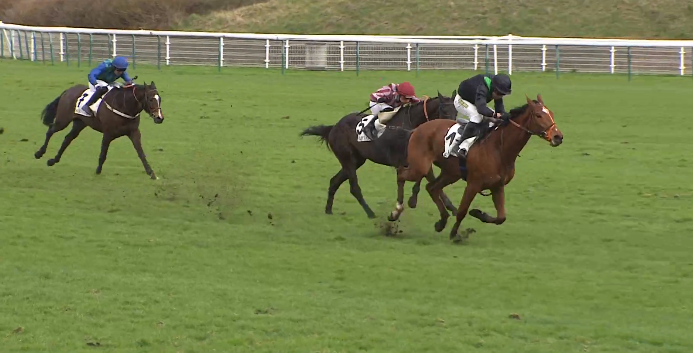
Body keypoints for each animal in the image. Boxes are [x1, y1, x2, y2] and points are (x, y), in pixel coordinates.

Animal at [34, 80, 165, 179]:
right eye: (150, 99)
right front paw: (98, 170)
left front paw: (151, 172)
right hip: (63, 120)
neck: (124, 105)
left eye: (159, 99)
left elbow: (141, 153)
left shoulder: (134, 132)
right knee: (51, 130)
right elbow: (103, 153)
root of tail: (68, 91)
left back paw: (53, 160)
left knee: (67, 139)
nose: (159, 118)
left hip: (80, 123)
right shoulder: (108, 133)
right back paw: (39, 153)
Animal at [302, 91, 460, 217]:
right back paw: (370, 213)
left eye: (456, 111)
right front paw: (412, 201)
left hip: (356, 160)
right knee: (354, 188)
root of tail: (333, 127)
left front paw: (452, 208)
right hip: (348, 160)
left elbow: (432, 181)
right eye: (444, 110)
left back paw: (328, 210)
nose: (451, 130)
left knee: (334, 181)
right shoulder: (403, 161)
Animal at [390, 94, 564, 242]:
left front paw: (478, 213)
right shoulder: (474, 184)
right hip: (420, 166)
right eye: (538, 115)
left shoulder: (497, 186)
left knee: (432, 188)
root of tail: (418, 128)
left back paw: (442, 220)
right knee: (401, 174)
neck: (498, 148)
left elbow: (501, 217)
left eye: (551, 113)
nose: (558, 137)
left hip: (450, 173)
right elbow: (462, 211)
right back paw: (396, 211)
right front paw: (455, 234)